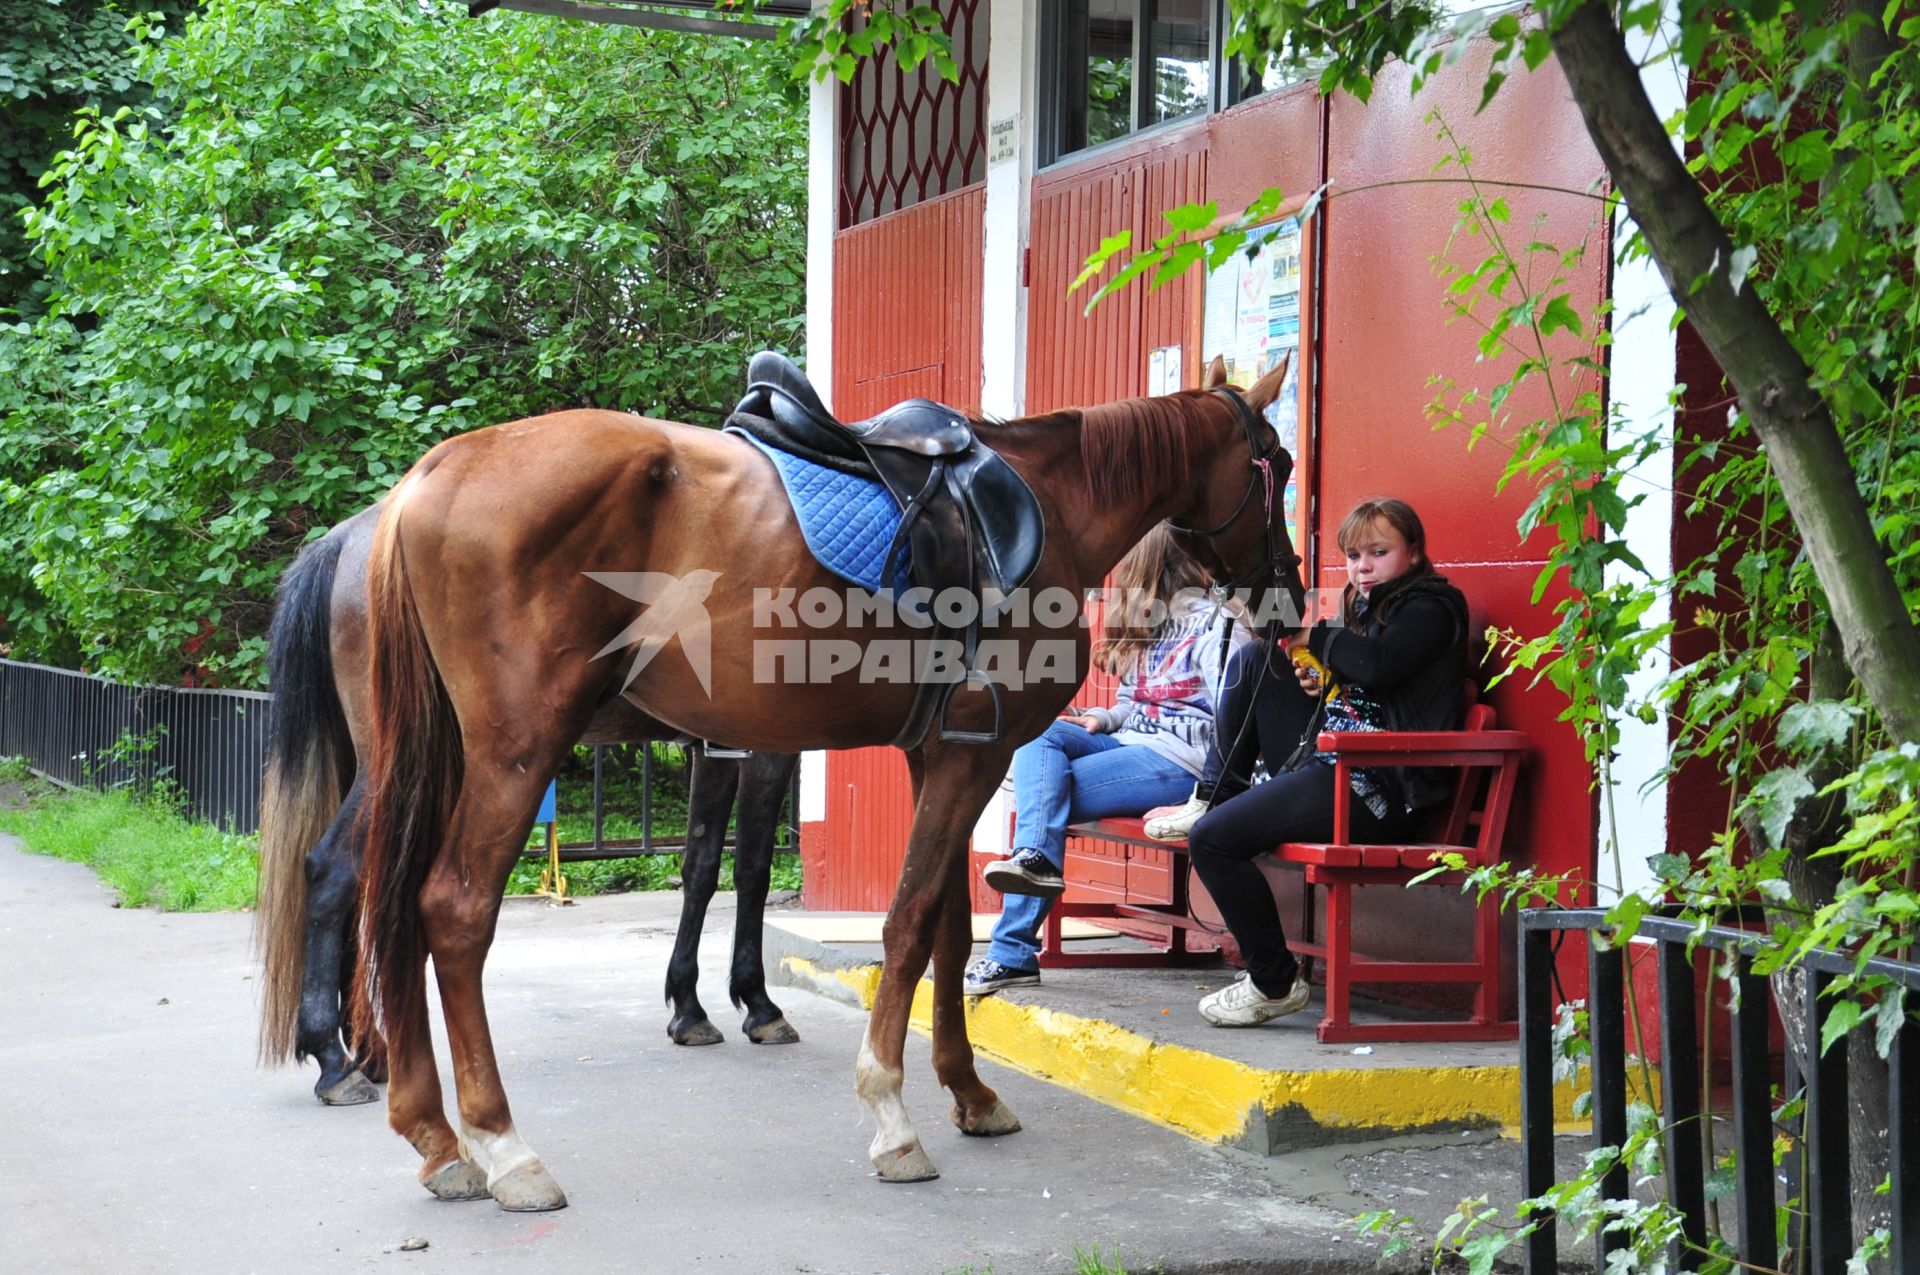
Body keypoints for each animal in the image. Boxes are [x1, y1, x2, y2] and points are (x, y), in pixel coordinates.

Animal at [253, 506, 802, 1106]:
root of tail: (347, 538)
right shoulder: (767, 751)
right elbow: (752, 870)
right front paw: (759, 1004)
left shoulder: (712, 751)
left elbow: (701, 869)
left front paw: (687, 1008)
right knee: (332, 873)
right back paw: (336, 1061)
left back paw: (370, 1052)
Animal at [345, 355, 1305, 1205]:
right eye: (1282, 463)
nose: (1287, 594)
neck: (1046, 503)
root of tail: (430, 475)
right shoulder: (974, 755)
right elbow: (909, 925)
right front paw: (892, 1113)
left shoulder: (939, 754)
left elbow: (945, 926)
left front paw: (969, 1091)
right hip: (517, 750)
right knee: (452, 911)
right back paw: (504, 1145)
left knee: (395, 911)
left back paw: (435, 1136)